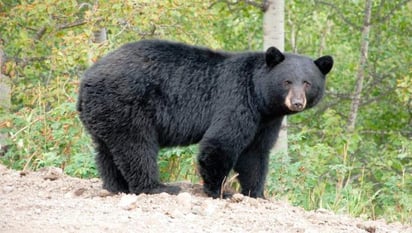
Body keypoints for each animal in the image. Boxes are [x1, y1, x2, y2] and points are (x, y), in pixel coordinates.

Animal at [77, 39, 334, 198]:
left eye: (307, 82)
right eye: (287, 81)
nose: (297, 102)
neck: (259, 97)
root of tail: (87, 79)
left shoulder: (266, 120)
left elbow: (255, 154)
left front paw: (257, 193)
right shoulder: (236, 100)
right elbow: (221, 143)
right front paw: (220, 191)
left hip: (104, 112)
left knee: (106, 150)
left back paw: (116, 186)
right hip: (127, 104)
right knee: (136, 147)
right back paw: (157, 187)